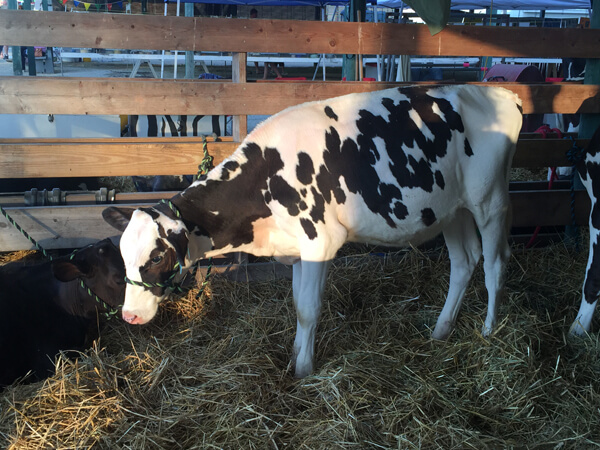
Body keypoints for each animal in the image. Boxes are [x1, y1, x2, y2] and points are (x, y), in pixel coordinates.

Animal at [103, 84, 520, 376]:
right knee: (464, 261)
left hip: (490, 201)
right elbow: (297, 305)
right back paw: (441, 331)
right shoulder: (296, 249)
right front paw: (295, 357)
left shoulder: (321, 242)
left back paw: (488, 331)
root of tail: (501, 94)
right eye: (122, 254)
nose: (130, 316)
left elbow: (308, 309)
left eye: (157, 254)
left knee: (495, 264)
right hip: (452, 208)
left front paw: (303, 371)